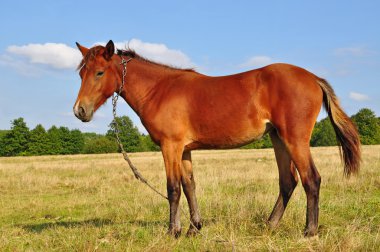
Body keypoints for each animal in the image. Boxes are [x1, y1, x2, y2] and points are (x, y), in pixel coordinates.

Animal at [72, 40, 360, 237]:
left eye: (99, 73)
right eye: (81, 73)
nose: (80, 111)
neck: (160, 90)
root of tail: (313, 78)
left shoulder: (170, 146)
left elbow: (173, 188)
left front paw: (173, 232)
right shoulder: (184, 150)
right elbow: (189, 186)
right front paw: (193, 228)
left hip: (295, 139)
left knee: (311, 179)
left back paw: (309, 231)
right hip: (279, 139)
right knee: (288, 181)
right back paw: (270, 224)